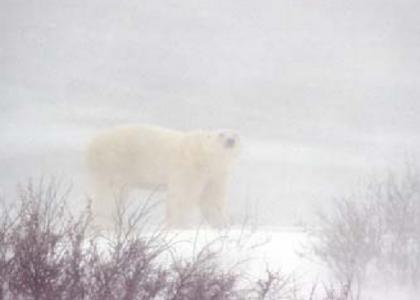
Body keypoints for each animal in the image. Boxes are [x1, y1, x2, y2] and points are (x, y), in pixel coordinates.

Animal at [85, 123, 240, 227]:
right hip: (112, 164)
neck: (203, 157)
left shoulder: (216, 175)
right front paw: (179, 227)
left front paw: (222, 224)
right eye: (221, 134)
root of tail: (92, 143)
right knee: (107, 198)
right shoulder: (189, 169)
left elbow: (211, 200)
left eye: (235, 134)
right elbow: (181, 198)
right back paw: (104, 225)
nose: (230, 141)